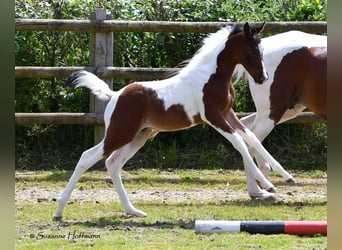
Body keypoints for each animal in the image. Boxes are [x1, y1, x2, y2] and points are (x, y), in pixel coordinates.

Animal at [54, 22, 286, 219]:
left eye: (262, 50)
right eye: (254, 50)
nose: (263, 78)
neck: (212, 76)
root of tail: (114, 95)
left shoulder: (228, 113)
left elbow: (252, 139)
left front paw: (283, 176)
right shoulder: (212, 116)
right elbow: (239, 143)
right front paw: (267, 184)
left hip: (139, 136)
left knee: (113, 163)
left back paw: (132, 210)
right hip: (119, 133)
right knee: (87, 157)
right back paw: (59, 210)